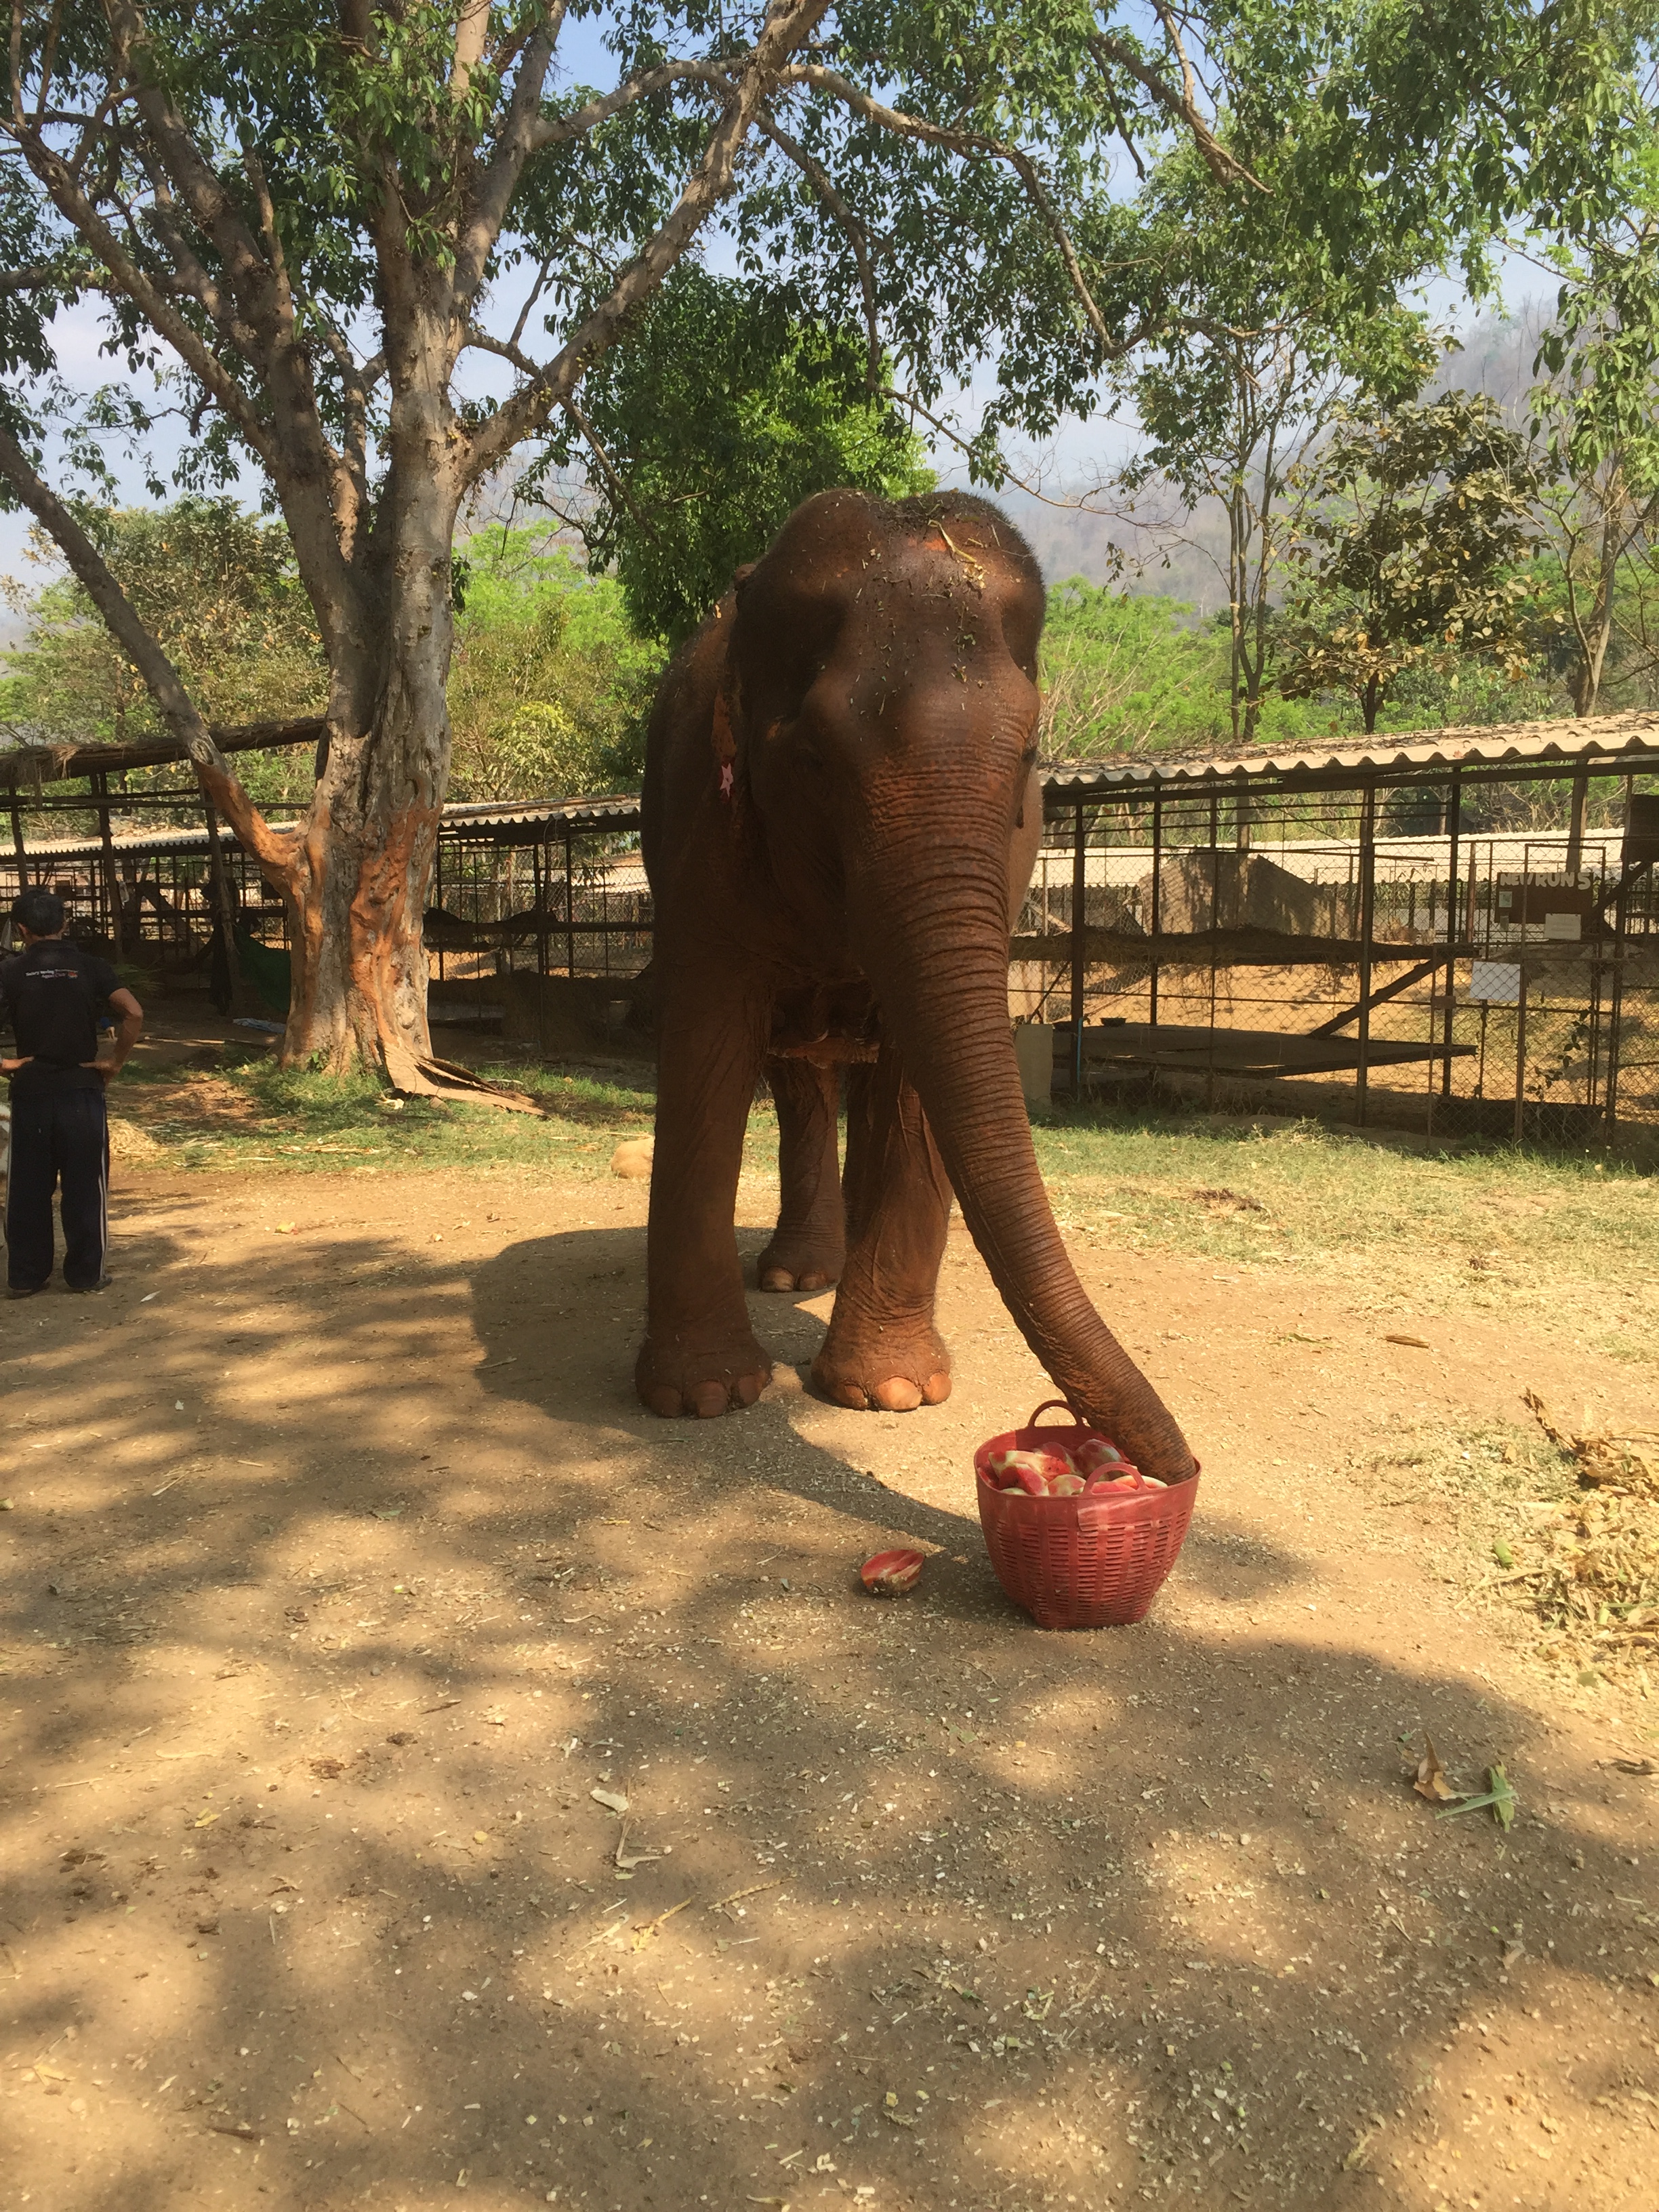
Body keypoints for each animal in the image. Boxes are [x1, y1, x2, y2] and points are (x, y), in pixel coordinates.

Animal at [634, 487, 1196, 1485]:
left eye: (1028, 757)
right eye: (814, 758)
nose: (1184, 1468)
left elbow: (917, 1079)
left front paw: (890, 1393)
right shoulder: (698, 824)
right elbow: (706, 1050)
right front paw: (700, 1399)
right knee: (797, 1079)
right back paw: (796, 1277)